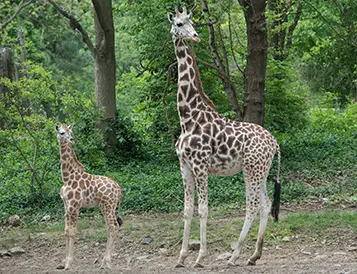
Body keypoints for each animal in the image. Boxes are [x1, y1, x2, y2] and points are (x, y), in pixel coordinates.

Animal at [55, 124, 122, 270]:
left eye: (70, 132)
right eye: (61, 132)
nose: (71, 139)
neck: (67, 178)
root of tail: (119, 190)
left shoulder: (74, 206)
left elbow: (73, 232)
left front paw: (69, 263)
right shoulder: (66, 206)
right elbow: (66, 231)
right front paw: (63, 261)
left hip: (107, 206)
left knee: (113, 227)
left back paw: (106, 262)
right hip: (109, 207)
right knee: (112, 227)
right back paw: (105, 261)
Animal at [167, 6, 280, 268]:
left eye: (193, 22)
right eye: (179, 24)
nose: (196, 36)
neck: (188, 116)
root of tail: (275, 143)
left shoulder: (200, 166)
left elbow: (203, 210)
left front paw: (200, 257)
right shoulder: (184, 166)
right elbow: (187, 210)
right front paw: (181, 257)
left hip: (251, 170)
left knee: (252, 206)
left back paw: (235, 255)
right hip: (262, 171)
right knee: (265, 205)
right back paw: (253, 255)